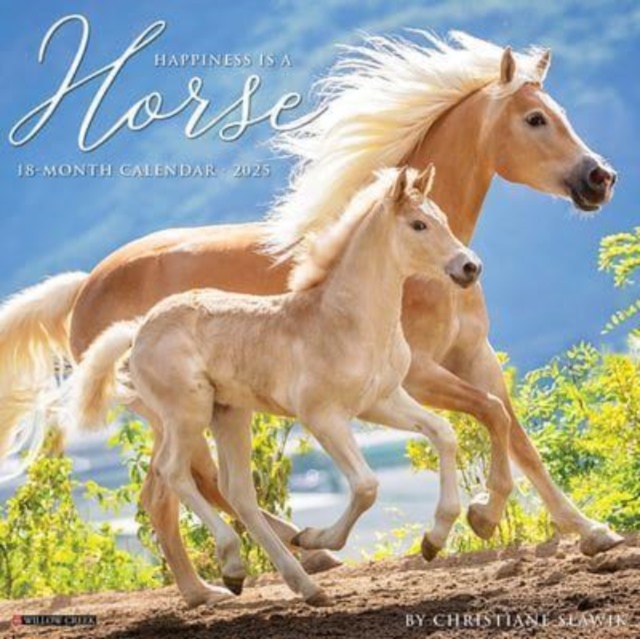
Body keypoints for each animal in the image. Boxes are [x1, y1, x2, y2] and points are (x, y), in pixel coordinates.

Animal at [70, 166, 481, 606]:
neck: (347, 320)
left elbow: (444, 433)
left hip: (229, 414)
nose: (470, 267)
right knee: (174, 473)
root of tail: (138, 331)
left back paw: (294, 584)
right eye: (418, 224)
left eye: (443, 217)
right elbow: (366, 486)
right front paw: (317, 536)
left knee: (236, 491)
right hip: (187, 414)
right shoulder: (322, 416)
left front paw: (433, 540)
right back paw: (235, 564)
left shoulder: (382, 401)